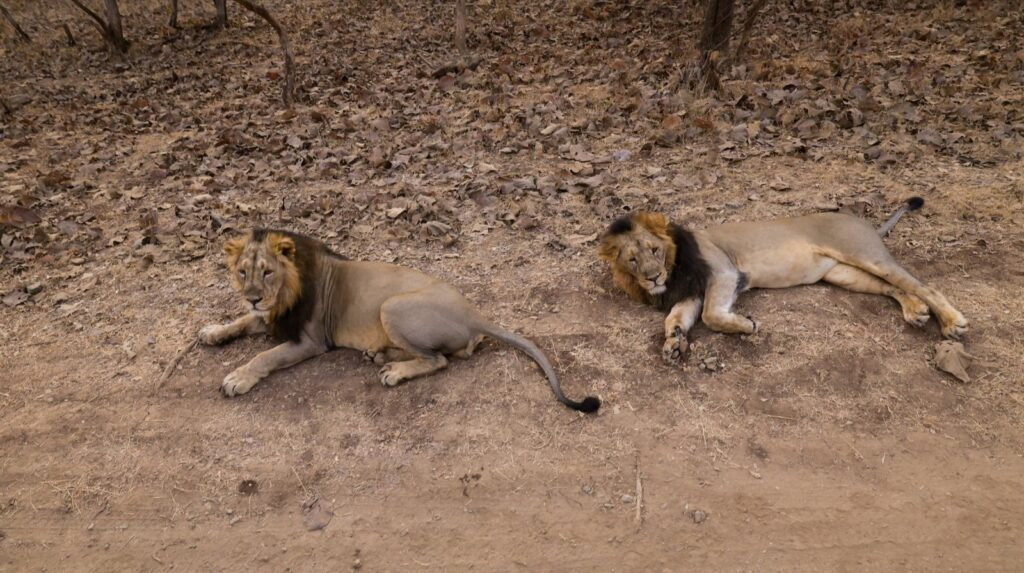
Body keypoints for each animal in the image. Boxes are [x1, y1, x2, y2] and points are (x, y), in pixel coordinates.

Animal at [198, 229, 600, 412]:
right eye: (242, 272)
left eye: (267, 271)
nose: (252, 296)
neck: (282, 294)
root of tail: (475, 313)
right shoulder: (269, 317)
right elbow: (239, 322)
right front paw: (213, 332)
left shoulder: (309, 340)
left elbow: (264, 356)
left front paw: (237, 378)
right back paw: (379, 356)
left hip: (391, 306)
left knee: (438, 360)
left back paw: (393, 370)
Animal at [598, 197, 969, 363]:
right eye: (632, 259)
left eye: (654, 250)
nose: (653, 278)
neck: (674, 269)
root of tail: (863, 222)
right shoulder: (693, 292)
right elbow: (675, 319)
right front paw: (674, 343)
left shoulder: (725, 272)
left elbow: (712, 315)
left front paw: (746, 325)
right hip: (844, 274)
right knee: (895, 287)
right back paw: (916, 312)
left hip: (864, 255)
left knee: (922, 285)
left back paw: (952, 322)